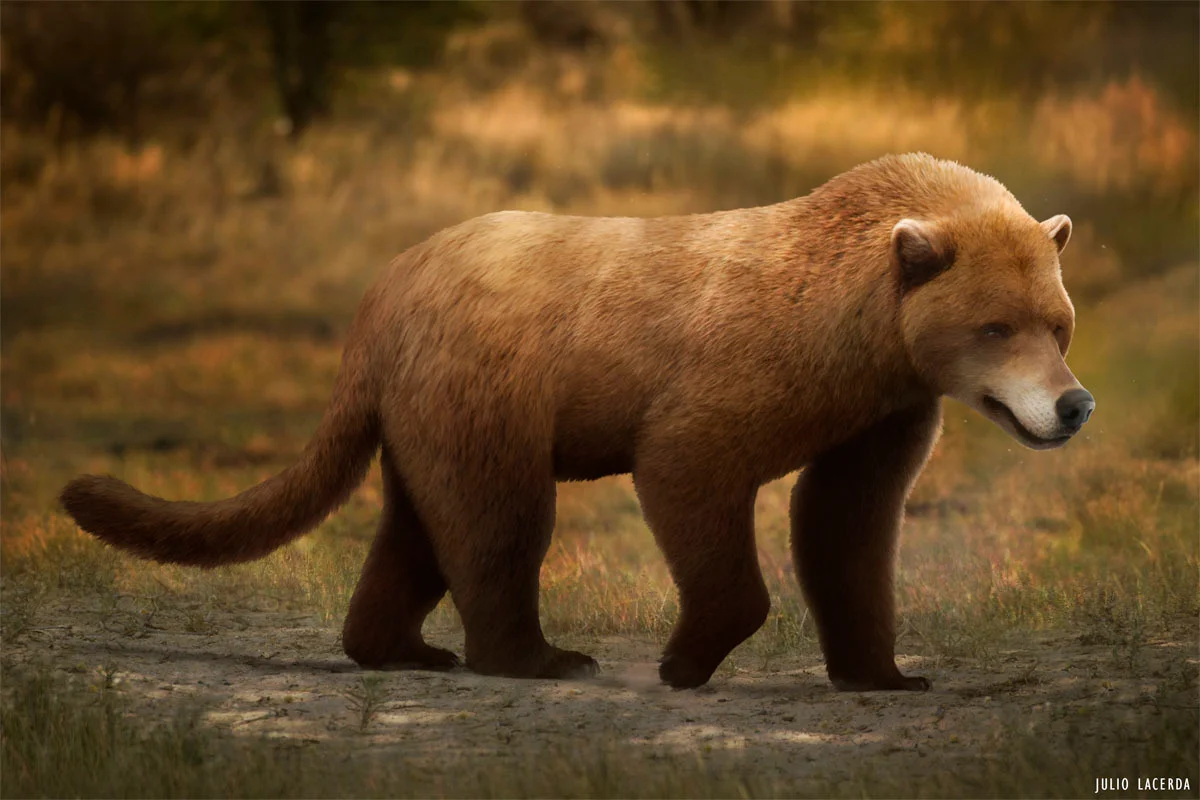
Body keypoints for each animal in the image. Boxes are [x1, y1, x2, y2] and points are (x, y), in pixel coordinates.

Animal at [61, 153, 1095, 691]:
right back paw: (541, 656)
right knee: (499, 518)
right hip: (488, 385)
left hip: (425, 410)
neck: (858, 335)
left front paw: (887, 670)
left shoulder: (880, 409)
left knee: (419, 526)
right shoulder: (746, 370)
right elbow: (688, 467)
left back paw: (401, 646)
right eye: (995, 325)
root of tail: (380, 296)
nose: (1072, 404)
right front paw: (685, 657)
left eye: (1058, 321)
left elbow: (847, 523)